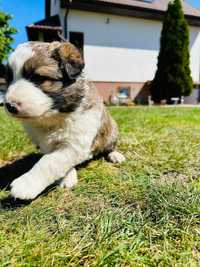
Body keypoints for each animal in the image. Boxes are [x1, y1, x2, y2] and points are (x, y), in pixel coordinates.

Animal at [3, 42, 125, 200]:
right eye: (9, 79)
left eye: (39, 78)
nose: (9, 105)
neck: (53, 116)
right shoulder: (47, 145)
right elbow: (55, 160)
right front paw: (68, 177)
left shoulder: (75, 142)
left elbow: (49, 162)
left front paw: (26, 185)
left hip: (112, 131)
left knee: (110, 146)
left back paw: (115, 155)